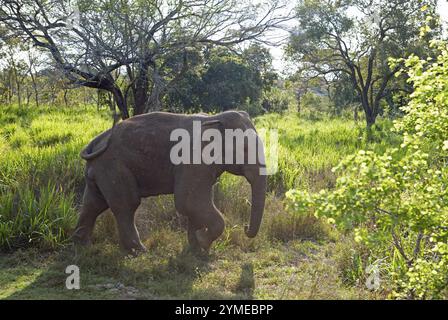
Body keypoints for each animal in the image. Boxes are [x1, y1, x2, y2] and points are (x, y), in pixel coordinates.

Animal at [74, 111, 266, 254]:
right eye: (245, 149)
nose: (244, 226)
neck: (214, 118)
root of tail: (96, 142)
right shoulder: (192, 160)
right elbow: (188, 201)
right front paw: (202, 241)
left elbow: (194, 204)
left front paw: (197, 249)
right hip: (114, 167)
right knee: (126, 205)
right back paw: (139, 252)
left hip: (100, 171)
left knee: (93, 204)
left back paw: (83, 247)